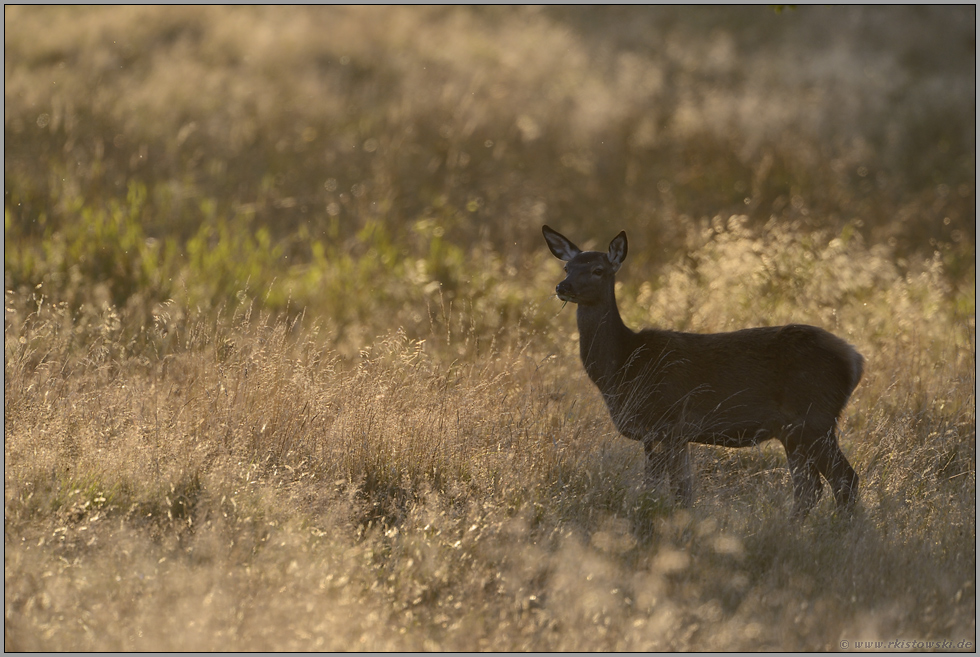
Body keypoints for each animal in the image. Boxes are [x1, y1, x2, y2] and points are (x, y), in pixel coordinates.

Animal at [544, 226, 864, 516]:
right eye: (567, 266)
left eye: (598, 270)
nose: (562, 287)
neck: (622, 367)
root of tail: (855, 359)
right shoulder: (674, 433)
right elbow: (682, 490)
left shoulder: (664, 421)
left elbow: (665, 489)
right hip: (795, 430)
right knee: (809, 488)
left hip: (814, 416)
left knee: (843, 479)